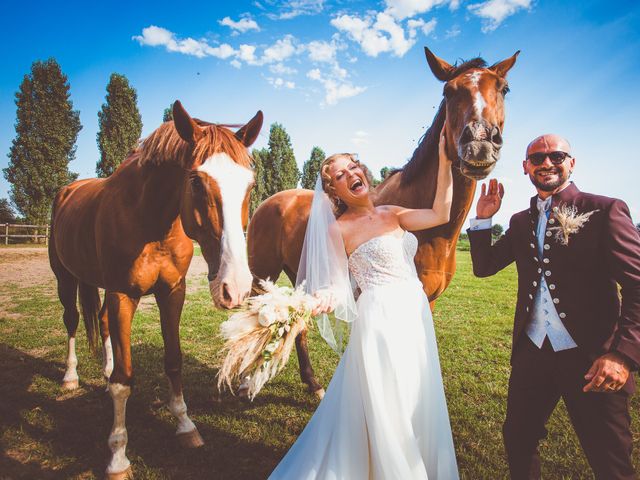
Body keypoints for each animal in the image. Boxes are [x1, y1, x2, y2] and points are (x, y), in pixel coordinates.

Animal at [47, 99, 262, 478]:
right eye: (196, 181)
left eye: (249, 184)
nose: (235, 287)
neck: (150, 221)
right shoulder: (123, 295)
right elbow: (124, 380)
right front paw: (118, 457)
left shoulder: (172, 293)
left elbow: (173, 361)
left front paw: (186, 426)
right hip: (66, 278)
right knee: (72, 321)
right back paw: (71, 376)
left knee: (102, 323)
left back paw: (103, 370)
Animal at [248, 47, 516, 396]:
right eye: (449, 91)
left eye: (503, 89)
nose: (480, 143)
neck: (436, 234)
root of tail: (272, 200)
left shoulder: (427, 302)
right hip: (262, 275)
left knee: (299, 324)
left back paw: (312, 383)